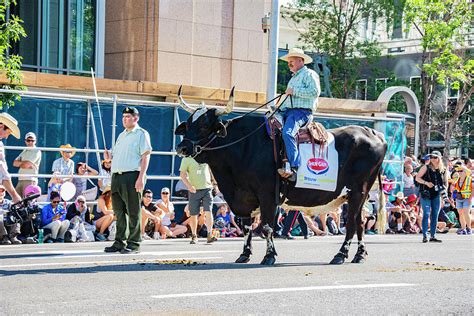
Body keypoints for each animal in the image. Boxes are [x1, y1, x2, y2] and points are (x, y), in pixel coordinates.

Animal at [176, 105, 386, 264]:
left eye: (204, 126)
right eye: (188, 124)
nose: (182, 147)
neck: (244, 145)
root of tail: (372, 132)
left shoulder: (268, 195)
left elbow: (267, 227)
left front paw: (269, 256)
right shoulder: (244, 197)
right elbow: (247, 227)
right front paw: (245, 254)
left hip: (358, 191)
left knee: (350, 224)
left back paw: (340, 255)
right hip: (360, 195)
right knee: (359, 222)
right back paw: (359, 255)